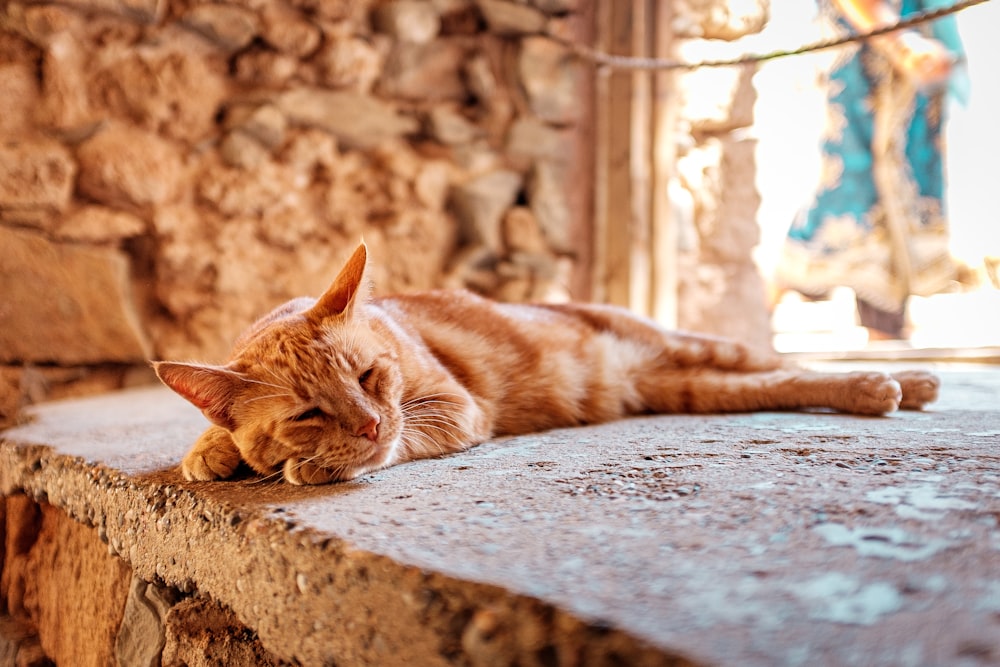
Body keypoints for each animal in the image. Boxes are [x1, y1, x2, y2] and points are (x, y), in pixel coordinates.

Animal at [154, 243, 936, 482]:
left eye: (371, 377)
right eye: (309, 411)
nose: (369, 425)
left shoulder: (454, 407)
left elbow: (408, 434)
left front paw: (315, 465)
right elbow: (216, 431)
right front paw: (211, 449)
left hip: (701, 346)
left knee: (777, 357)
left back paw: (900, 380)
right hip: (693, 386)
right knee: (778, 379)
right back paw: (882, 387)